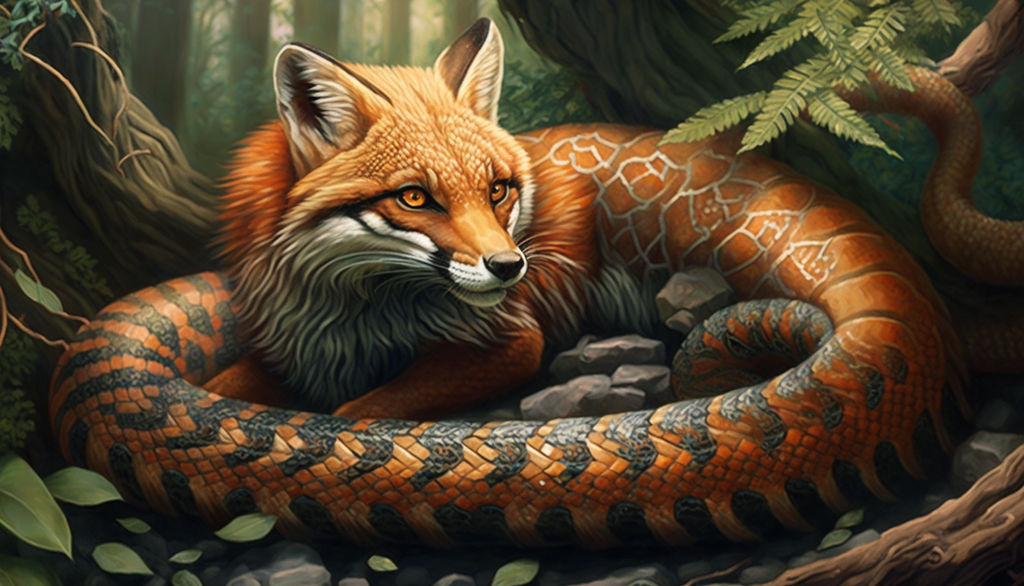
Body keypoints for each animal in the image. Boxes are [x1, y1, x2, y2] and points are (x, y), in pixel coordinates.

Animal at [51, 18, 985, 546]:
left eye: (499, 189)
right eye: (415, 198)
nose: (509, 266)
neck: (357, 309)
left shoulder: (508, 345)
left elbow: (357, 419)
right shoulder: (289, 351)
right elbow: (232, 396)